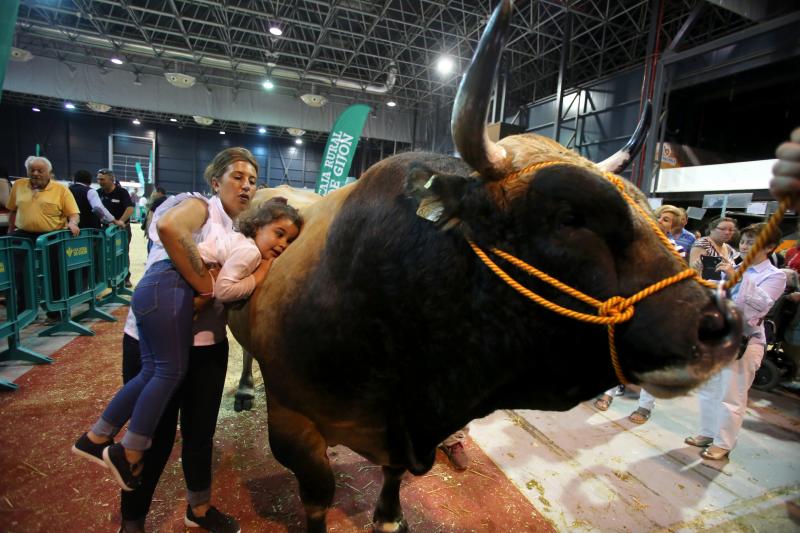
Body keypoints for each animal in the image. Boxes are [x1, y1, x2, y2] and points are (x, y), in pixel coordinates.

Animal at [225, 2, 736, 528]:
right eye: (570, 216)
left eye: (649, 210)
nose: (720, 326)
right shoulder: (294, 426)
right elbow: (318, 496)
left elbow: (393, 473)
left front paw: (389, 514)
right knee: (244, 350)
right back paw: (243, 389)